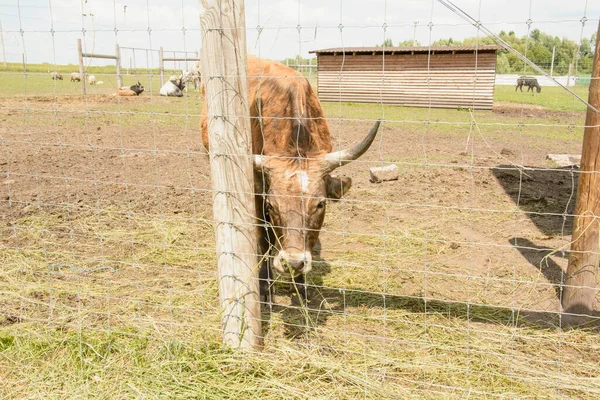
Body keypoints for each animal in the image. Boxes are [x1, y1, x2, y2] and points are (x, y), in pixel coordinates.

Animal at [202, 54, 380, 302]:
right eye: (271, 205)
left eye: (320, 204)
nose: (293, 263)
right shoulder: (258, 194)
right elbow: (264, 239)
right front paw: (265, 288)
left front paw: (302, 286)